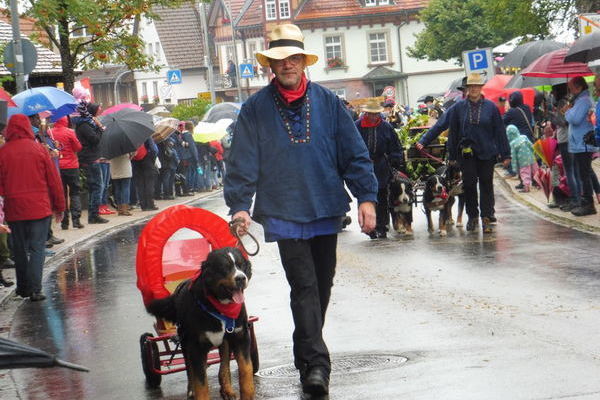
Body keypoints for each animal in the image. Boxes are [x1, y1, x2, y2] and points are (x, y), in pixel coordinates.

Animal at [136, 205, 258, 386]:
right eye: (225, 268)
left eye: (242, 265)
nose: (241, 278)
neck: (219, 306)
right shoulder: (194, 346)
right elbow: (198, 378)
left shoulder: (239, 336)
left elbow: (243, 368)